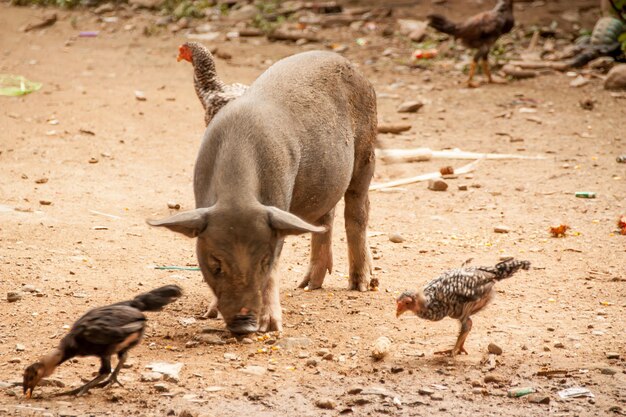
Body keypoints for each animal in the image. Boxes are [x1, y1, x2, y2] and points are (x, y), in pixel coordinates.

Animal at [150, 50, 376, 334]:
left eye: (263, 261)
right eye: (216, 265)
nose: (244, 326)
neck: (237, 193)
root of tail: (350, 65)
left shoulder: (277, 206)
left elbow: (274, 270)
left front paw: (271, 327)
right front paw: (210, 314)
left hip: (367, 151)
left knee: (357, 211)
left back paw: (361, 285)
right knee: (325, 218)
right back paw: (308, 285)